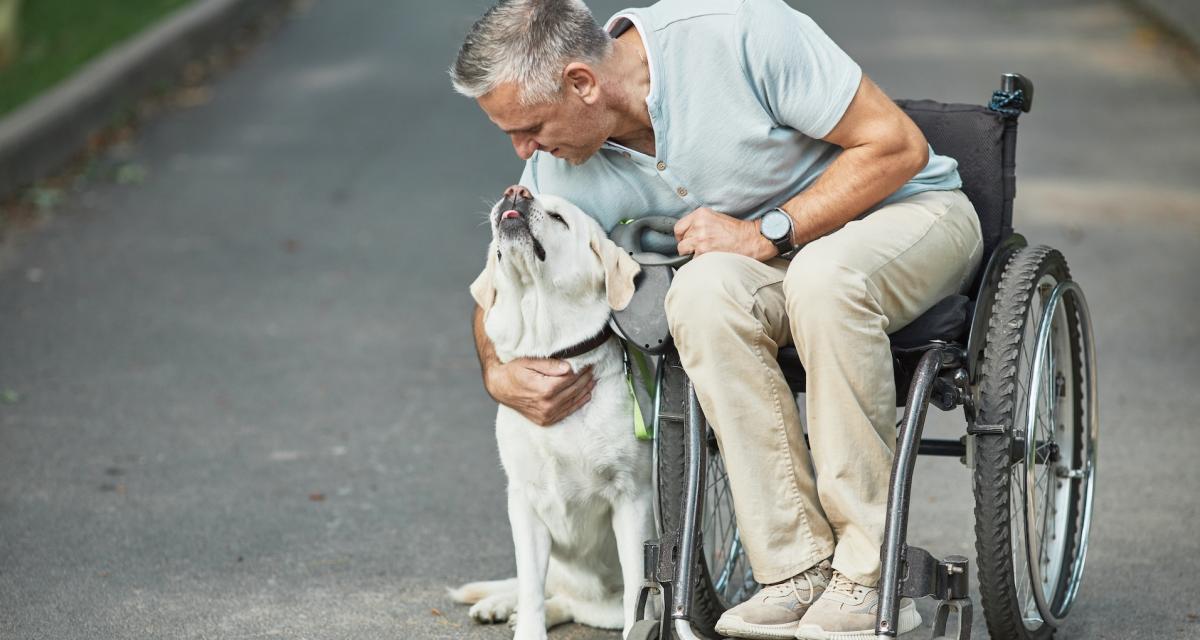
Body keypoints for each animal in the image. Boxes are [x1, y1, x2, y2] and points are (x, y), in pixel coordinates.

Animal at [451, 186, 657, 638]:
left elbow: (638, 591)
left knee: (581, 605)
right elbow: (530, 586)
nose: (516, 191)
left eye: (560, 218)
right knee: (544, 590)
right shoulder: (523, 503)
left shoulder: (632, 500)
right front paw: (526, 626)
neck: (552, 350)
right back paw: (497, 604)